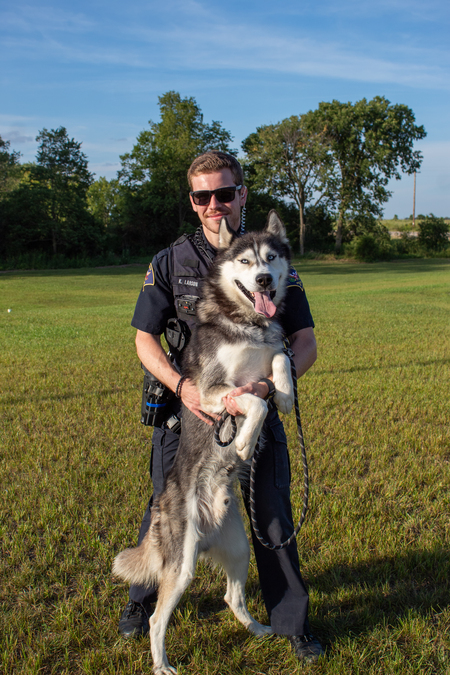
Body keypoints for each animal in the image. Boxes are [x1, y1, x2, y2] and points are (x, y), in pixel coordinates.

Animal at [112, 211, 296, 675]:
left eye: (271, 258)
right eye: (246, 261)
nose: (264, 280)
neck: (248, 324)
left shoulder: (271, 354)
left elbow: (280, 360)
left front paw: (285, 394)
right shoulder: (213, 391)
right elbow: (253, 401)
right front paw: (245, 442)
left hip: (240, 548)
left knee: (232, 596)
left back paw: (259, 629)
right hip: (181, 566)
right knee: (157, 618)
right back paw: (161, 664)